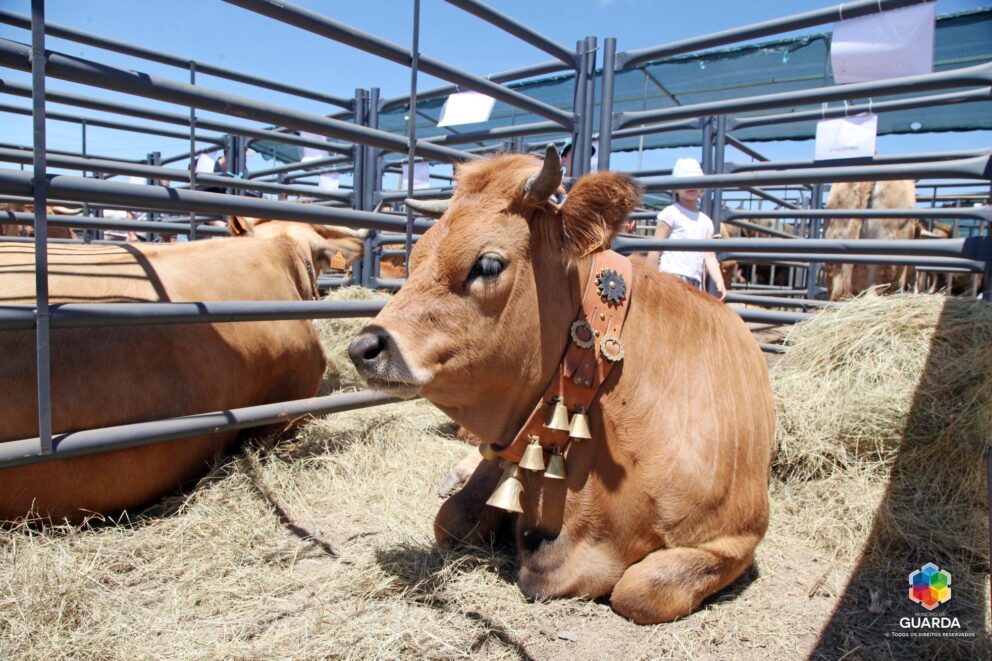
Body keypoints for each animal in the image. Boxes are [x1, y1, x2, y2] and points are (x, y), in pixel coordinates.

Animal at [348, 146, 775, 624]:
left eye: (487, 264)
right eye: (415, 256)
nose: (363, 347)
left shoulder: (737, 538)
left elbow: (640, 590)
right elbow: (450, 520)